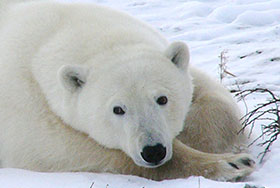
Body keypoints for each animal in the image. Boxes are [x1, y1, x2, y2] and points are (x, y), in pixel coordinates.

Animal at [0, 0, 254, 181]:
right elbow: (63, 148)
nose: (153, 151)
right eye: (118, 109)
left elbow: (214, 99)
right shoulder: (24, 107)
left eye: (162, 99)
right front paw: (233, 163)